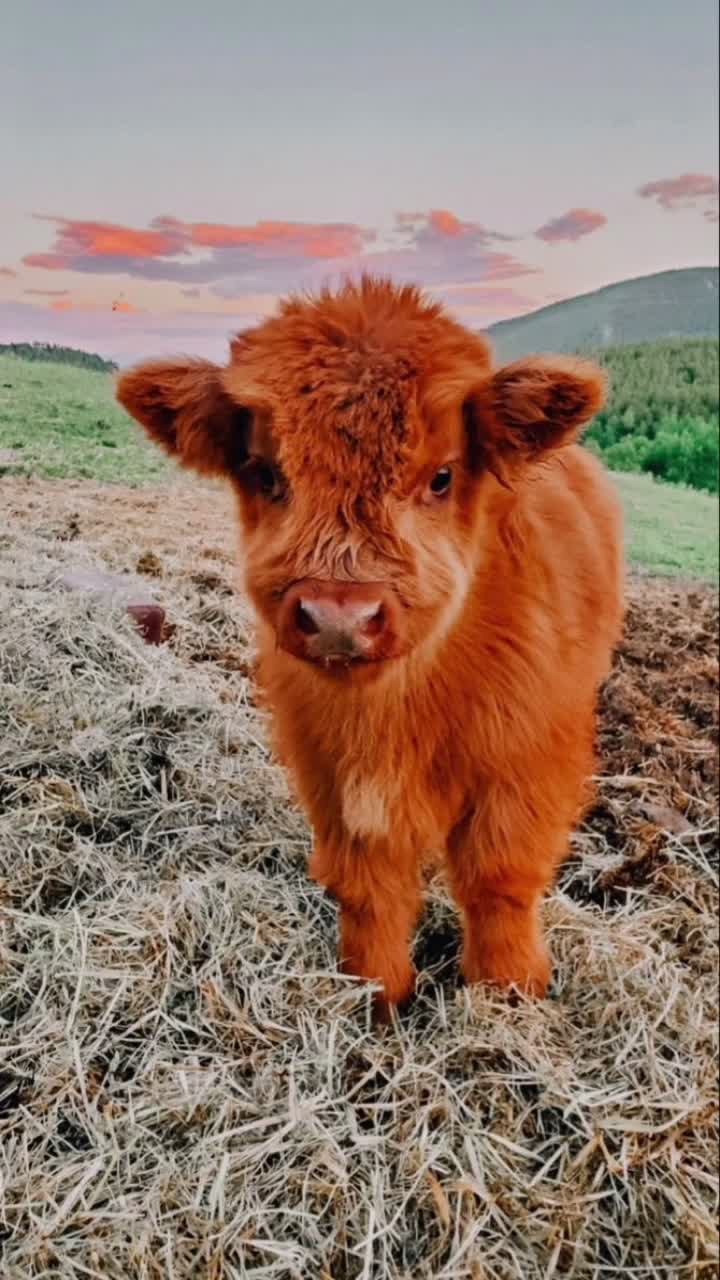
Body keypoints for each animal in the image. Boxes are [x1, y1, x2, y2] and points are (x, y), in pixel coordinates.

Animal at [116, 276, 624, 1019]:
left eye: (441, 477)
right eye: (266, 473)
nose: (339, 616)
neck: (398, 712)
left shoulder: (528, 760)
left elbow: (499, 875)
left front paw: (508, 994)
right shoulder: (328, 769)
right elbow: (368, 884)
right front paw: (376, 995)